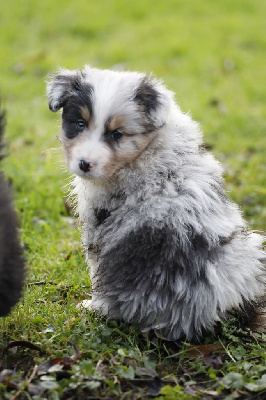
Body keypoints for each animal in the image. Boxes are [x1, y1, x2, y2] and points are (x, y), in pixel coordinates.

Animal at [46, 66, 264, 340]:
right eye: (80, 124)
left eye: (117, 134)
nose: (85, 164)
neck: (148, 148)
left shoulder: (100, 224)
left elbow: (94, 268)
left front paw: (92, 304)